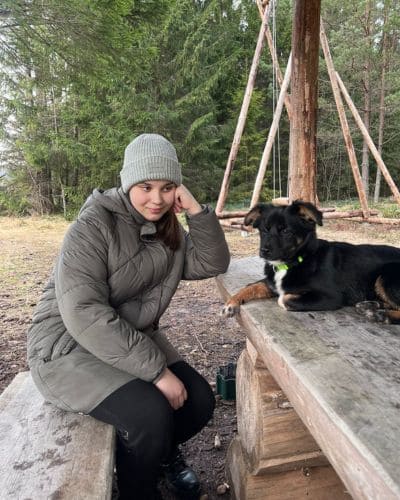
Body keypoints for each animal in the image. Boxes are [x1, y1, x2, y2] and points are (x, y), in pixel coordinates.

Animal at [222, 200, 400, 324]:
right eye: (264, 230)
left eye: (285, 231)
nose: (264, 251)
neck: (296, 260)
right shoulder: (271, 283)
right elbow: (250, 286)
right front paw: (231, 303)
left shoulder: (331, 297)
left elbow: (284, 298)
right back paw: (371, 305)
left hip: (387, 276)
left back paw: (381, 315)